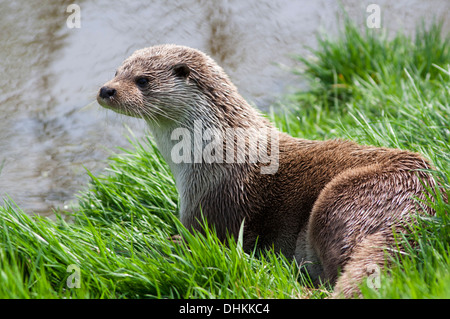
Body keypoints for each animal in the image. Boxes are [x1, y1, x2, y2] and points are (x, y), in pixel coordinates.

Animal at [96, 43, 438, 298]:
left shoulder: (213, 208)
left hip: (342, 201)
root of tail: (421, 209)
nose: (105, 90)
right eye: (117, 71)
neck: (217, 156)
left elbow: (203, 243)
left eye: (142, 80)